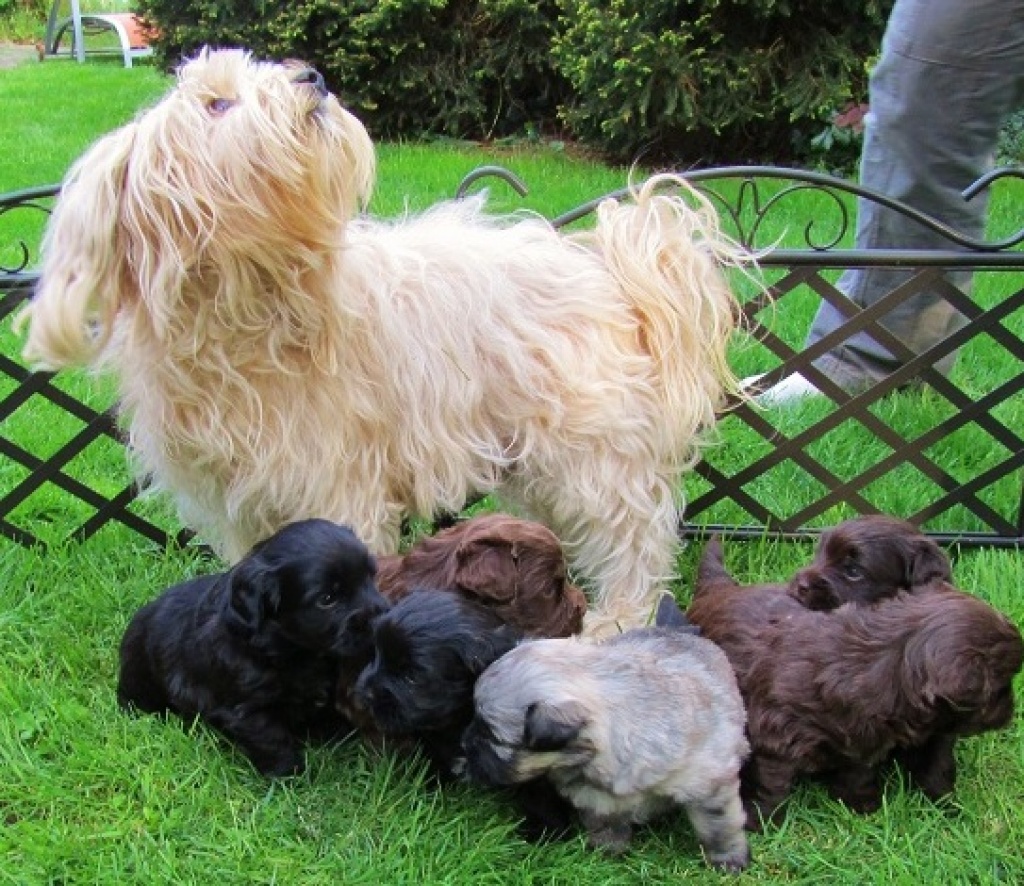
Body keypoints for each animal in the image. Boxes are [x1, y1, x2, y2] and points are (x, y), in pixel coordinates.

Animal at [18, 46, 753, 630]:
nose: (311, 75)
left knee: (636, 536)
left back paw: (618, 617)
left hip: (594, 453)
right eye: (217, 104)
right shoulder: (239, 500)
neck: (250, 307)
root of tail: (607, 269)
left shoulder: (336, 481)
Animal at [117, 518, 387, 774]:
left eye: (371, 576)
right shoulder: (248, 709)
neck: (292, 649)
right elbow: (272, 740)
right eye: (327, 599)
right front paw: (289, 776)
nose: (380, 617)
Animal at [460, 630, 749, 872]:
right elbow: (606, 824)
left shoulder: (710, 787)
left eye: (490, 735)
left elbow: (718, 828)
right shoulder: (595, 798)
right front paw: (607, 852)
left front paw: (728, 859)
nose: (462, 747)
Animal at [688, 540, 1015, 827]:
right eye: (1000, 688)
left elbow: (865, 771)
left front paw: (862, 806)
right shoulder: (773, 736)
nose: (1011, 711)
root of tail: (720, 589)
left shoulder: (865, 735)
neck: (887, 658)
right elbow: (771, 784)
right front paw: (760, 822)